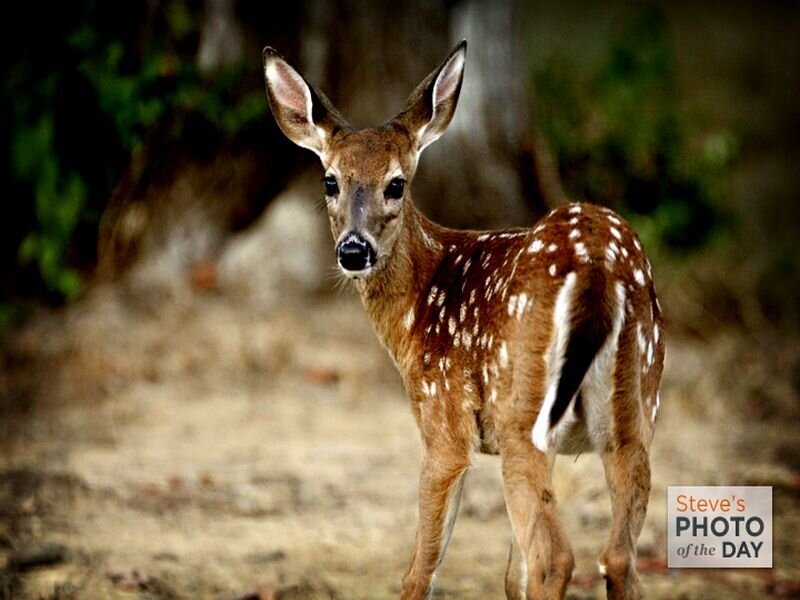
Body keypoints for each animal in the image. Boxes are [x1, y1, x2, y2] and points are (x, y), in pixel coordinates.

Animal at [262, 40, 665, 600]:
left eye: (396, 184)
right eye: (330, 181)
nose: (354, 251)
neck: (418, 306)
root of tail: (599, 270)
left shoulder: (444, 419)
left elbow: (420, 569)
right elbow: (511, 576)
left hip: (524, 412)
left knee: (555, 558)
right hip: (634, 408)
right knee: (619, 557)